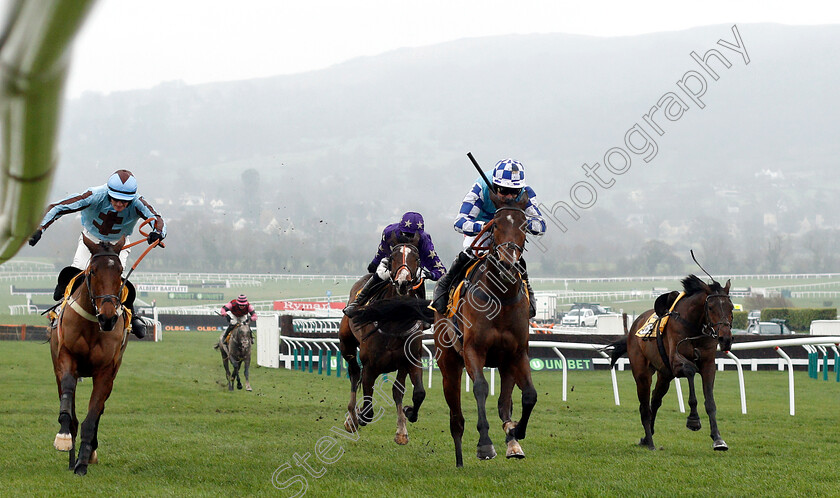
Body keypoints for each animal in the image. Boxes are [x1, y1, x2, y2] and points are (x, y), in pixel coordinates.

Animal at [49, 235, 130, 476]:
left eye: (120, 272)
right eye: (93, 271)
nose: (108, 318)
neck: (93, 325)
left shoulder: (105, 372)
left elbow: (92, 416)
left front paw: (83, 462)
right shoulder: (66, 358)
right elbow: (68, 398)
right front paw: (64, 437)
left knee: (100, 410)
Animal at [434, 194, 540, 466]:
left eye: (525, 226)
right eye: (495, 226)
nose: (507, 264)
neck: (500, 297)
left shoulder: (517, 354)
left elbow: (529, 395)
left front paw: (516, 431)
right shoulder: (474, 350)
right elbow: (481, 388)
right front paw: (485, 445)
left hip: (504, 364)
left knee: (504, 403)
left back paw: (512, 442)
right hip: (448, 363)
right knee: (456, 418)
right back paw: (460, 460)